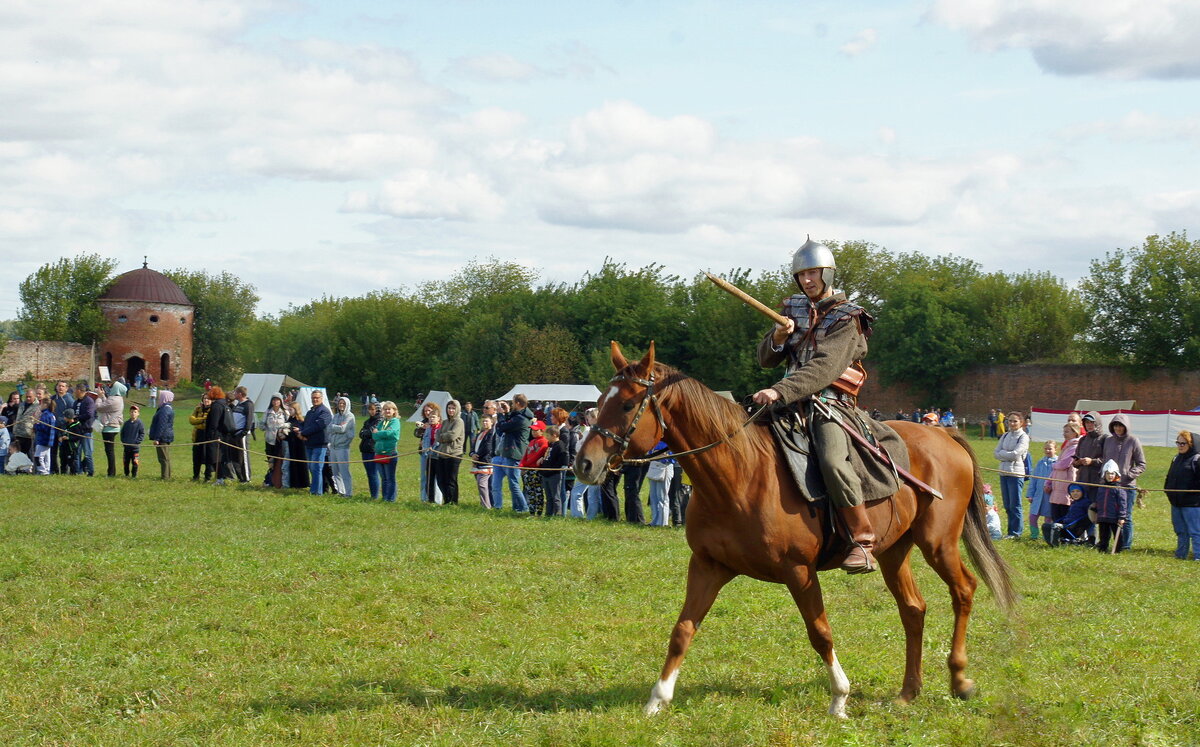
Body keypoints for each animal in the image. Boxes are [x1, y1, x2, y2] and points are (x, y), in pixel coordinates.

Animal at [571, 343, 1012, 720]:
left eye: (628, 404)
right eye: (599, 402)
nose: (584, 465)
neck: (741, 473)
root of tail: (943, 434)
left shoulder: (799, 571)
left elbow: (820, 633)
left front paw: (839, 699)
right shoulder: (708, 566)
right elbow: (682, 630)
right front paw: (657, 700)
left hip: (938, 543)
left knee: (963, 590)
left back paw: (959, 679)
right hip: (893, 551)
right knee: (913, 609)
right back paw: (908, 691)